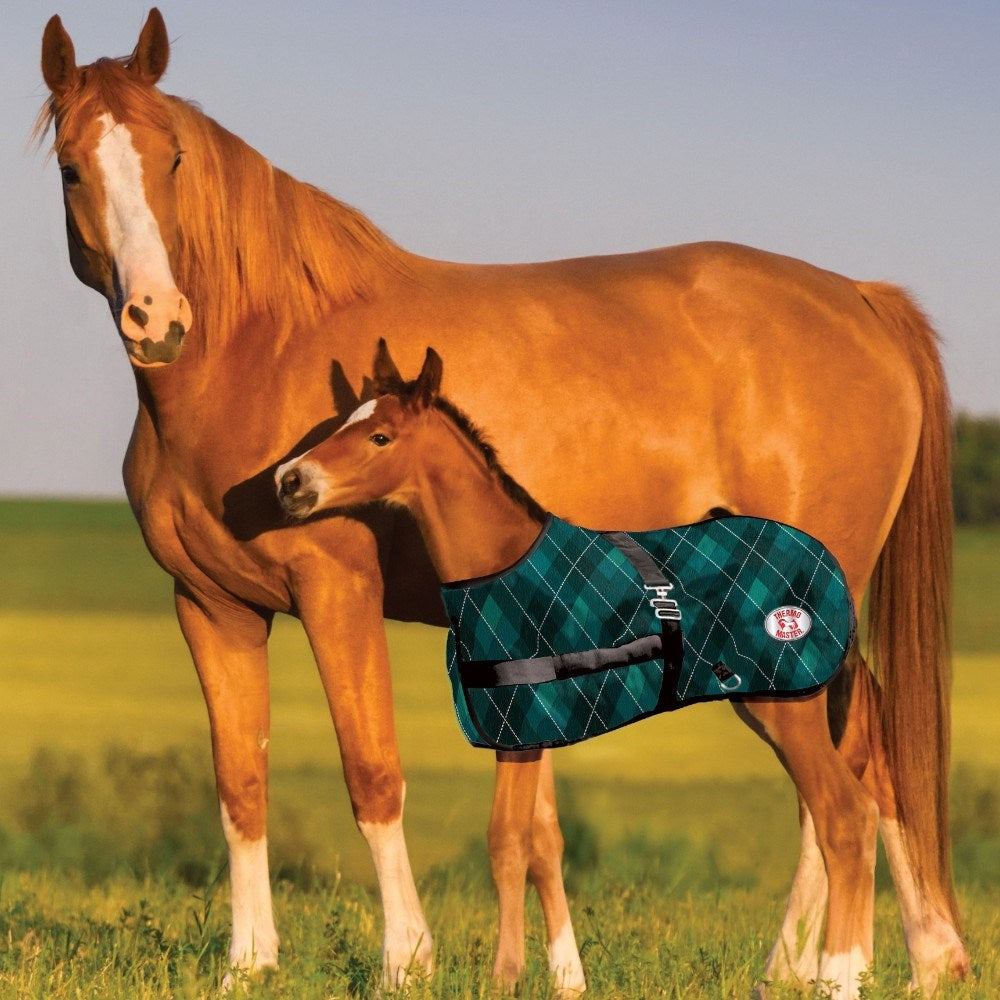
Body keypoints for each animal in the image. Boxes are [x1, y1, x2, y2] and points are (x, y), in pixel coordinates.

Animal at [36, 8, 967, 997]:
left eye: (171, 158)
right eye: (72, 166)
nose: (156, 318)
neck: (256, 350)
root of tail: (860, 299)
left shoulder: (337, 592)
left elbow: (374, 773)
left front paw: (407, 960)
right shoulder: (213, 609)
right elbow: (240, 786)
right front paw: (248, 967)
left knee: (849, 766)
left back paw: (824, 964)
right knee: (868, 758)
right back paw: (890, 960)